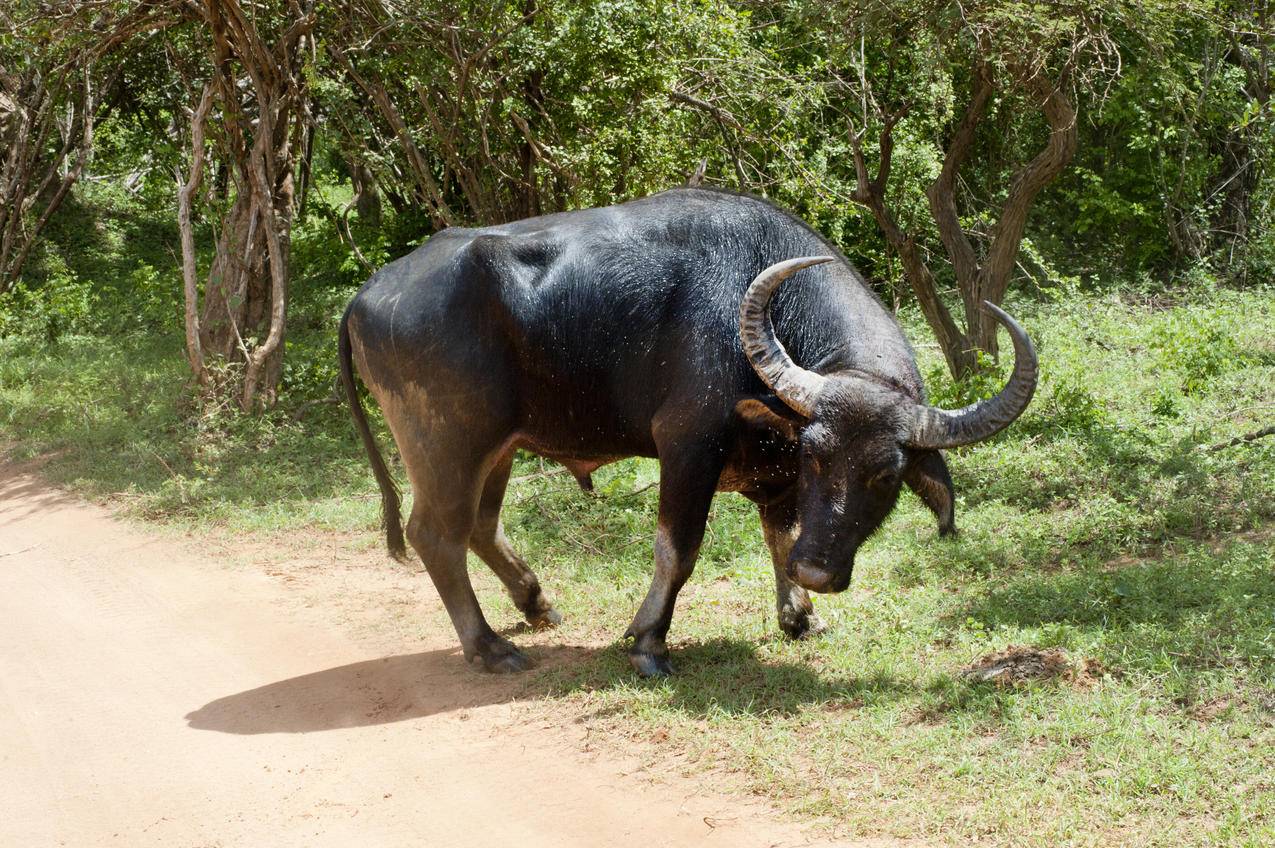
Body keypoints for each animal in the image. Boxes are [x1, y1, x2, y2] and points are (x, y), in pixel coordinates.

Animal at [341, 187, 1035, 673]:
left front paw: (799, 615)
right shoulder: (688, 448)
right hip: (448, 448)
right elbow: (678, 551)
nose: (819, 572)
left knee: (481, 527)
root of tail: (367, 294)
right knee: (437, 535)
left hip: (501, 447)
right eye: (816, 454)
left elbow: (779, 535)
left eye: (886, 475)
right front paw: (649, 641)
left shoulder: (774, 473)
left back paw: (537, 605)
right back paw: (487, 647)